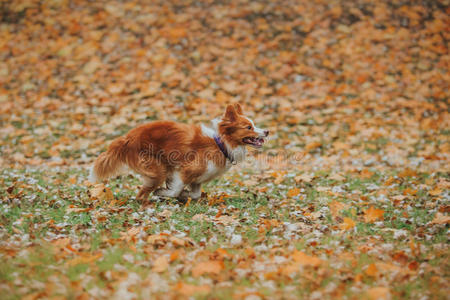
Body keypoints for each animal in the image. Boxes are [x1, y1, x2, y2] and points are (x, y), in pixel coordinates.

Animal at [89, 103, 268, 202]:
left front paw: (184, 195)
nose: (267, 131)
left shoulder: (197, 179)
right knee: (141, 194)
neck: (221, 145)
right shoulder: (185, 170)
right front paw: (165, 192)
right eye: (249, 127)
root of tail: (126, 138)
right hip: (157, 169)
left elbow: (195, 194)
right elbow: (175, 189)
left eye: (254, 124)